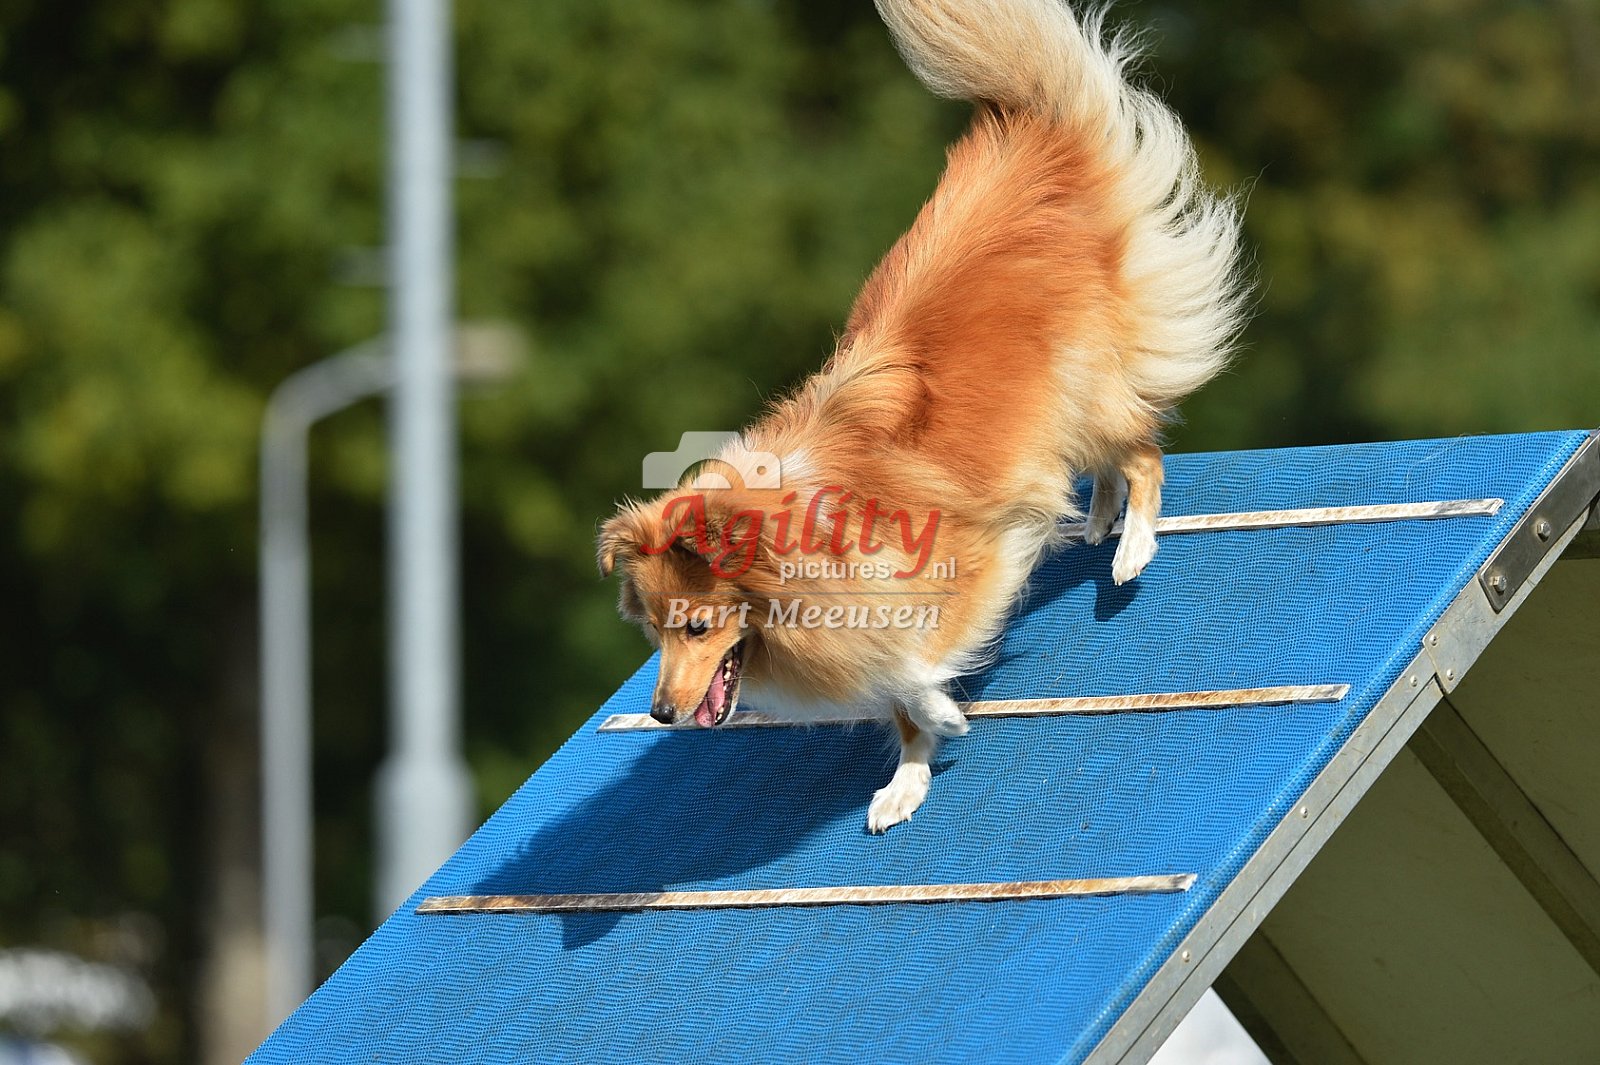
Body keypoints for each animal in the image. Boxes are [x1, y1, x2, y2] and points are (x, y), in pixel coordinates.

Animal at [598, 0, 1247, 832]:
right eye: (654, 630)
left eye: (698, 627)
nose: (660, 715)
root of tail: (1031, 127)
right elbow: (892, 691)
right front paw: (906, 780)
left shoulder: (974, 551)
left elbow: (911, 667)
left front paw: (942, 713)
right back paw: (1101, 518)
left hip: (1081, 386)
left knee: (1143, 450)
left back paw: (1132, 546)